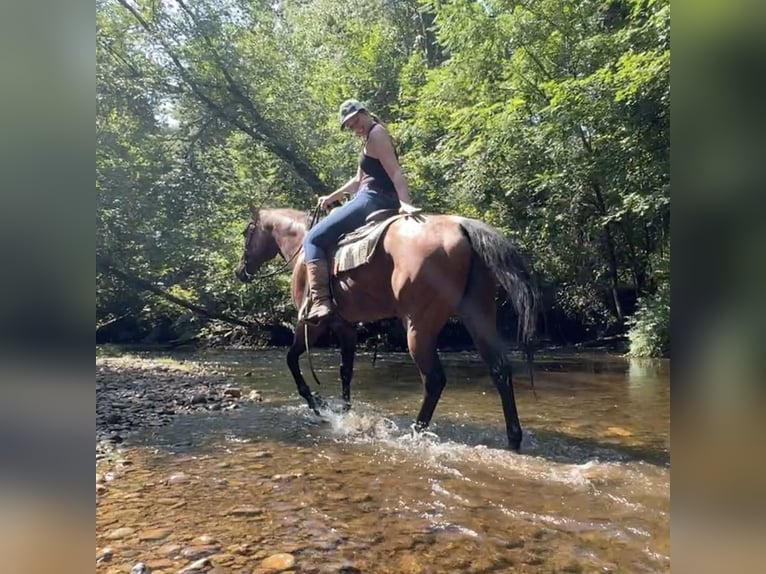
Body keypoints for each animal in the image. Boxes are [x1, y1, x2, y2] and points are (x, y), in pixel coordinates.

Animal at [236, 205, 540, 452]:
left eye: (246, 232)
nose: (240, 272)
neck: (301, 245)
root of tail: (462, 226)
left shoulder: (308, 324)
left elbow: (291, 359)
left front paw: (317, 404)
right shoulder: (346, 327)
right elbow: (346, 371)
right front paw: (345, 413)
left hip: (418, 326)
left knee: (434, 380)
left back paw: (416, 433)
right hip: (478, 316)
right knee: (499, 369)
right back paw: (513, 438)